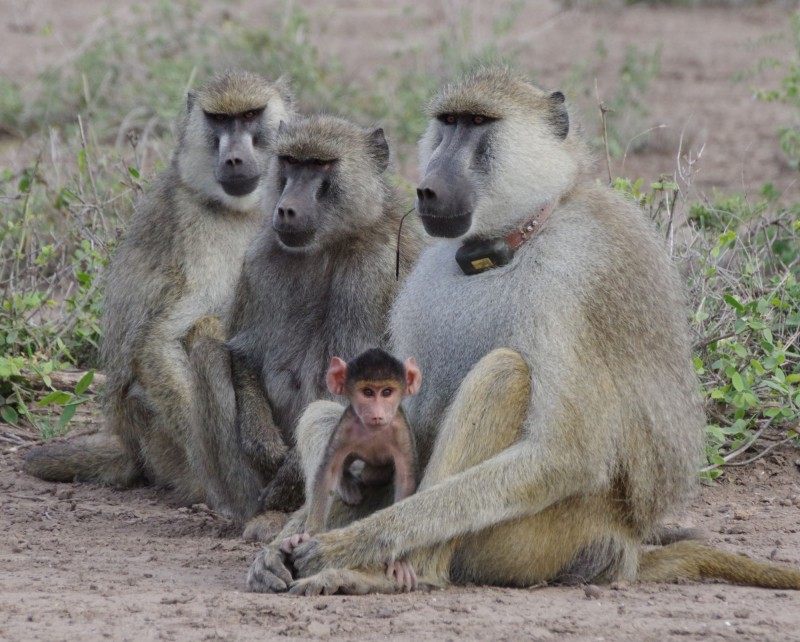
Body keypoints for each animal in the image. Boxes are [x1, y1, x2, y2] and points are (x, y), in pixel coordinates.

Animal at [24, 71, 294, 504]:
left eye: (251, 115)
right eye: (219, 120)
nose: (234, 158)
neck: (243, 210)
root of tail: (129, 444)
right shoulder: (197, 235)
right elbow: (157, 343)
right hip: (155, 435)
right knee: (204, 329)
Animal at [186, 115, 424, 525]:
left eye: (320, 165)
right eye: (290, 162)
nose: (286, 209)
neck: (326, 247)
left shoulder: (375, 274)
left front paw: (289, 477)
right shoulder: (259, 260)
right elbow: (244, 355)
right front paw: (263, 443)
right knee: (206, 345)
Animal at [247, 67, 800, 596]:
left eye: (478, 123)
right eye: (448, 123)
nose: (427, 186)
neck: (516, 238)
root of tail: (624, 545)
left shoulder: (571, 280)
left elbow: (564, 455)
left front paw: (350, 544)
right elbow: (395, 415)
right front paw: (284, 542)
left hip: (541, 537)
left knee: (505, 374)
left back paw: (397, 571)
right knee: (327, 414)